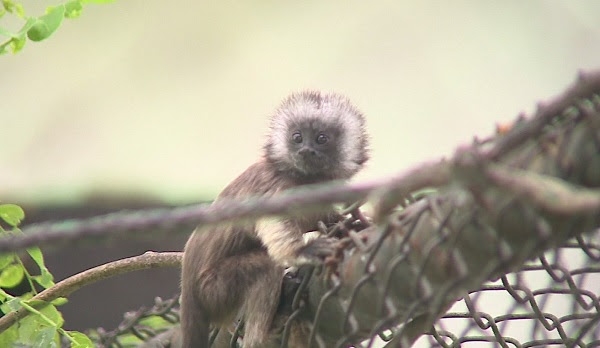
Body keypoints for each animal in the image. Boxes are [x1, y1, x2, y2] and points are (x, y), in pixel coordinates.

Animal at [178, 90, 368, 348]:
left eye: (321, 138)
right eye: (297, 137)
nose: (306, 150)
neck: (307, 179)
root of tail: (188, 290)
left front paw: (349, 225)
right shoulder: (282, 187)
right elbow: (270, 220)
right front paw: (303, 251)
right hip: (213, 291)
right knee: (264, 267)